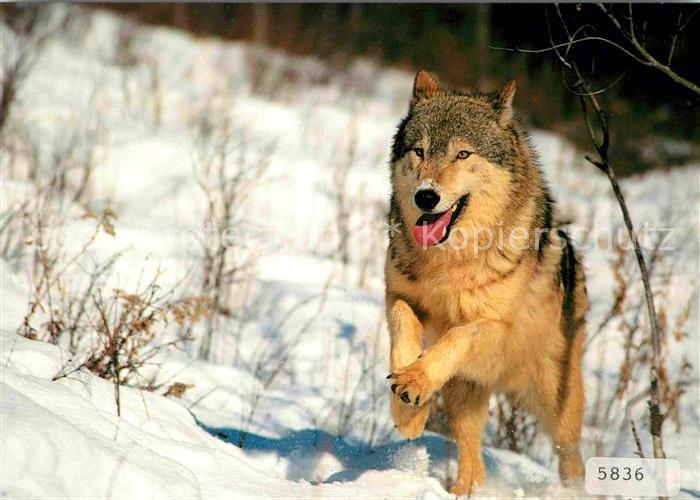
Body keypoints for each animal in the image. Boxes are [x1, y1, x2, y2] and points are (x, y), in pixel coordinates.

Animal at [385, 71, 587, 495]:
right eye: (419, 151)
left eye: (463, 154)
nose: (426, 196)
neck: (451, 261)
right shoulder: (398, 295)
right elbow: (403, 331)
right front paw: (408, 410)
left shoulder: (493, 326)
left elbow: (457, 336)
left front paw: (416, 380)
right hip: (464, 397)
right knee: (473, 460)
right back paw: (464, 491)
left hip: (557, 401)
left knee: (571, 454)